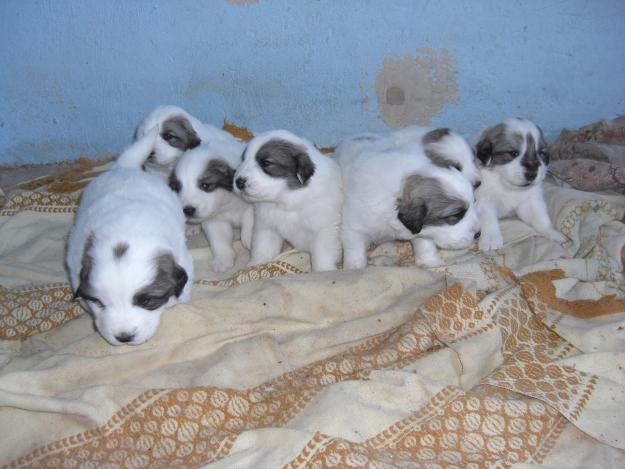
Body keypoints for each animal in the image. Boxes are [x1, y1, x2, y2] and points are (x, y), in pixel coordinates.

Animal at [168, 137, 254, 272]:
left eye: (205, 185)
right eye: (177, 188)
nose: (188, 210)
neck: (227, 204)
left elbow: (250, 218)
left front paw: (249, 238)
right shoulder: (214, 221)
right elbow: (218, 241)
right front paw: (223, 260)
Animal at [233, 130, 342, 272]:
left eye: (266, 163)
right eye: (243, 160)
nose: (238, 182)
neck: (287, 200)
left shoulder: (324, 230)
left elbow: (322, 256)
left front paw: (324, 271)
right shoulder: (266, 227)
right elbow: (262, 248)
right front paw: (254, 267)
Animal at [336, 133, 478, 268]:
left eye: (474, 203)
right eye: (456, 215)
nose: (478, 234)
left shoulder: (420, 231)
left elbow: (425, 244)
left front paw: (430, 262)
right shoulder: (354, 229)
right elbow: (355, 252)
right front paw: (355, 268)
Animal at [472, 117, 564, 250]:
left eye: (541, 154)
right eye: (513, 153)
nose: (532, 174)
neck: (505, 185)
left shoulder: (530, 200)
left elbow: (540, 217)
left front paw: (551, 232)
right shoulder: (483, 201)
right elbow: (488, 220)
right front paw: (491, 240)